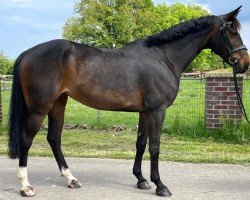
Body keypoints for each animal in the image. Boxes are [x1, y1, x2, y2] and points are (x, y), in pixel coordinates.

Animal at [7, 6, 248, 197]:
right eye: (232, 31)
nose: (244, 63)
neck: (164, 58)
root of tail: (29, 52)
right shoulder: (157, 111)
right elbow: (155, 147)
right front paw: (160, 185)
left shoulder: (145, 112)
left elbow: (141, 144)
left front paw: (141, 180)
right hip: (39, 108)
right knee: (26, 140)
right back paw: (26, 187)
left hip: (58, 103)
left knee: (54, 139)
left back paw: (71, 179)